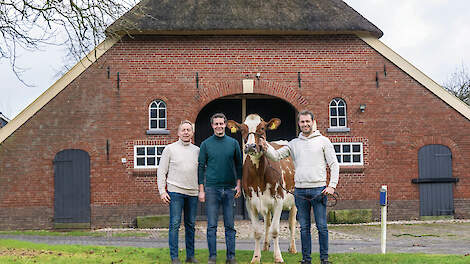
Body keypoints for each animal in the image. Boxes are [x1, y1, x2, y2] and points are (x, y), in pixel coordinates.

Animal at [226, 114, 296, 264]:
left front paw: (278, 257)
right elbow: (258, 231)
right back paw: (265, 246)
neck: (258, 173)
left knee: (292, 222)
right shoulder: (250, 202)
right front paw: (256, 257)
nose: (250, 146)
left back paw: (292, 248)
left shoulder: (278, 200)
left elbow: (275, 230)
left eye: (262, 128)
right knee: (267, 223)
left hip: (294, 200)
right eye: (242, 129)